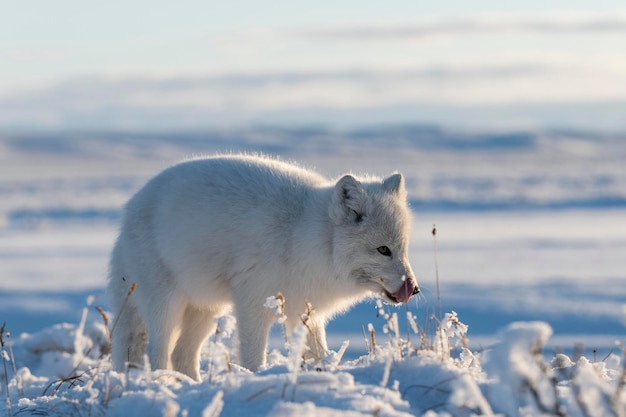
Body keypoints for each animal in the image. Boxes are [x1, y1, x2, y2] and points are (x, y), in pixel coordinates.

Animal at [108, 154, 420, 378]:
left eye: (404, 249)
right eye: (383, 250)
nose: (414, 289)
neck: (305, 237)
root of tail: (129, 211)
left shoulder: (305, 312)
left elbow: (318, 352)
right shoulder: (253, 304)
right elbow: (253, 356)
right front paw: (255, 377)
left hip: (206, 309)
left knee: (181, 355)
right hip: (167, 305)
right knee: (157, 354)